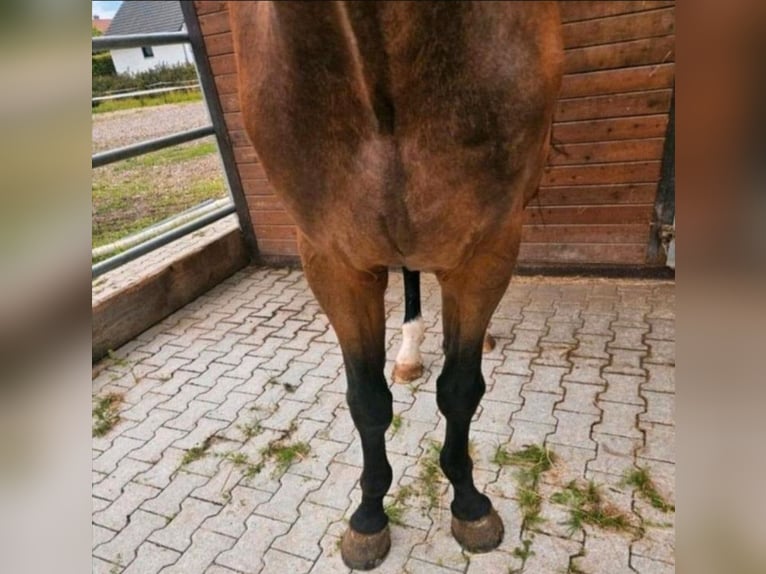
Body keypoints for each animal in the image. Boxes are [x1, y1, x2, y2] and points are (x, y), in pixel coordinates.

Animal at [228, 2, 563, 568]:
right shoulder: (332, 262)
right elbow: (366, 400)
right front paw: (368, 517)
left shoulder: (487, 250)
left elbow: (460, 389)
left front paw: (470, 504)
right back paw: (409, 352)